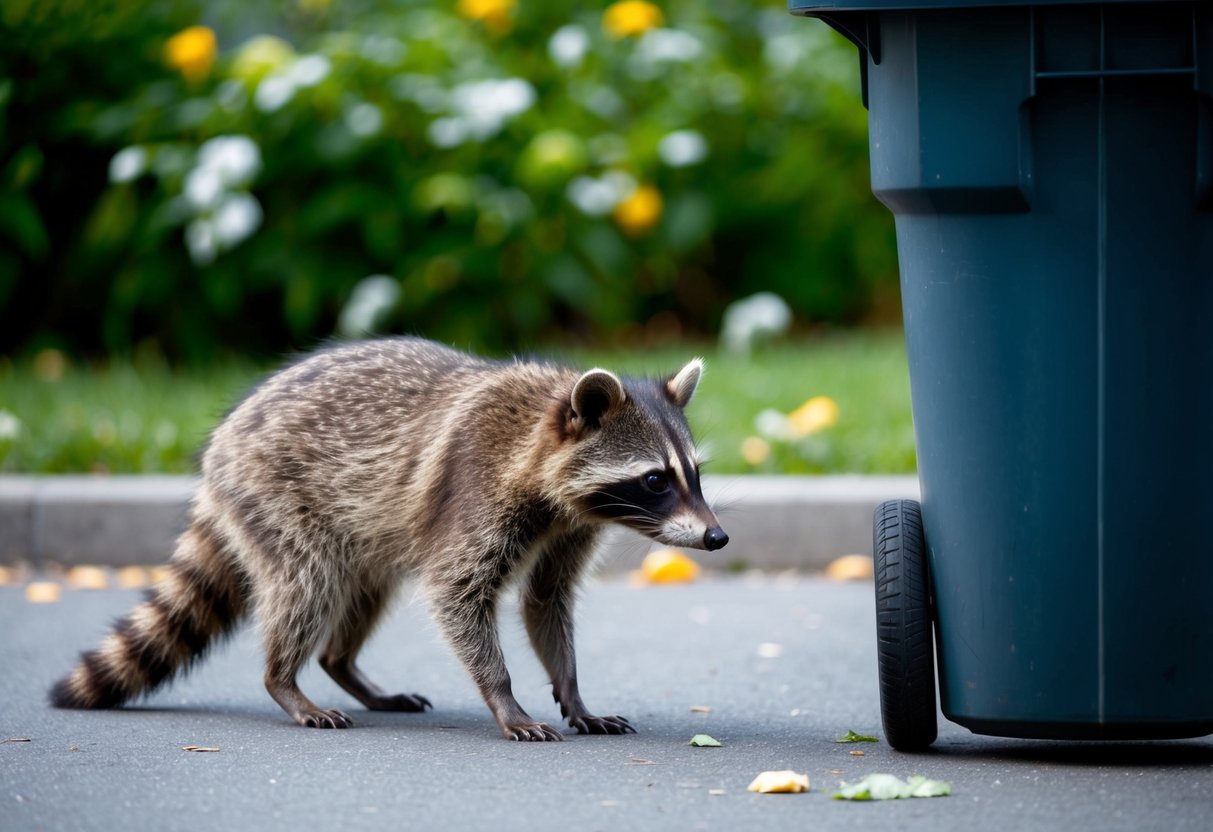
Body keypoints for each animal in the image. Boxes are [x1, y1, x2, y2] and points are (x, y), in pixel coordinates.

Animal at [50, 337, 727, 741]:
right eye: (655, 480)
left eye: (695, 474)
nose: (717, 536)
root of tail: (221, 448)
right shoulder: (475, 493)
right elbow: (457, 595)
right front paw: (504, 696)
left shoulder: (568, 528)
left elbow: (546, 601)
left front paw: (572, 690)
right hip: (277, 498)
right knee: (305, 586)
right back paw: (284, 680)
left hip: (367, 535)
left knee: (360, 595)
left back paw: (343, 667)